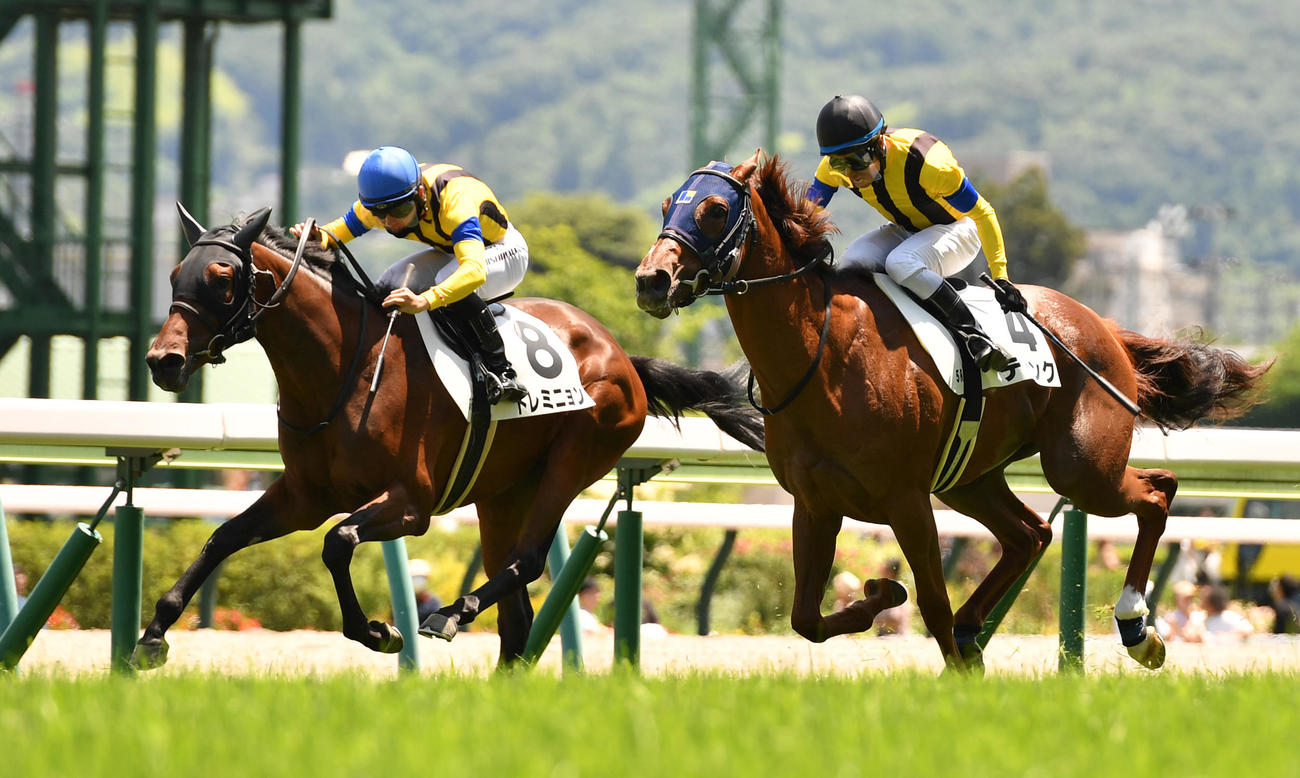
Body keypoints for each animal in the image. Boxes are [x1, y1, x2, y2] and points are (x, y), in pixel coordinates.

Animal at [137, 205, 765, 668]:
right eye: (173, 276)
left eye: (222, 278)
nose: (163, 361)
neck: (345, 368)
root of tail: (624, 357)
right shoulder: (304, 495)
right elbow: (223, 537)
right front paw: (153, 634)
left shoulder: (410, 503)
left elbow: (338, 541)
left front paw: (379, 631)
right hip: (503, 494)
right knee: (516, 617)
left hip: (574, 460)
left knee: (526, 563)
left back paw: (450, 614)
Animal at [634, 152, 1268, 671]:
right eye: (668, 205)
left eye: (715, 210)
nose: (651, 280)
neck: (822, 354)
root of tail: (1104, 326)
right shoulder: (814, 503)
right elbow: (806, 618)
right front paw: (883, 595)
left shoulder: (906, 499)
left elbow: (931, 605)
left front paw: (939, 650)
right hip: (969, 477)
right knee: (1032, 534)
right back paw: (975, 629)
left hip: (1081, 466)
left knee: (1156, 491)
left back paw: (1137, 629)